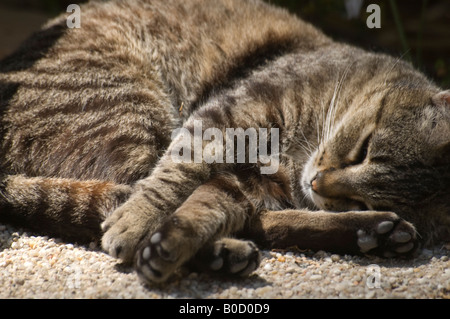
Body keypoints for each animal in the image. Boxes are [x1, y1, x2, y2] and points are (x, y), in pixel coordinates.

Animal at [0, 0, 448, 284]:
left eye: (364, 199)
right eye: (364, 148)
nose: (318, 183)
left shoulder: (250, 176)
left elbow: (222, 204)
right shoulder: (230, 116)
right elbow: (173, 179)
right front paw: (140, 221)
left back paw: (371, 232)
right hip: (126, 110)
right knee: (113, 198)